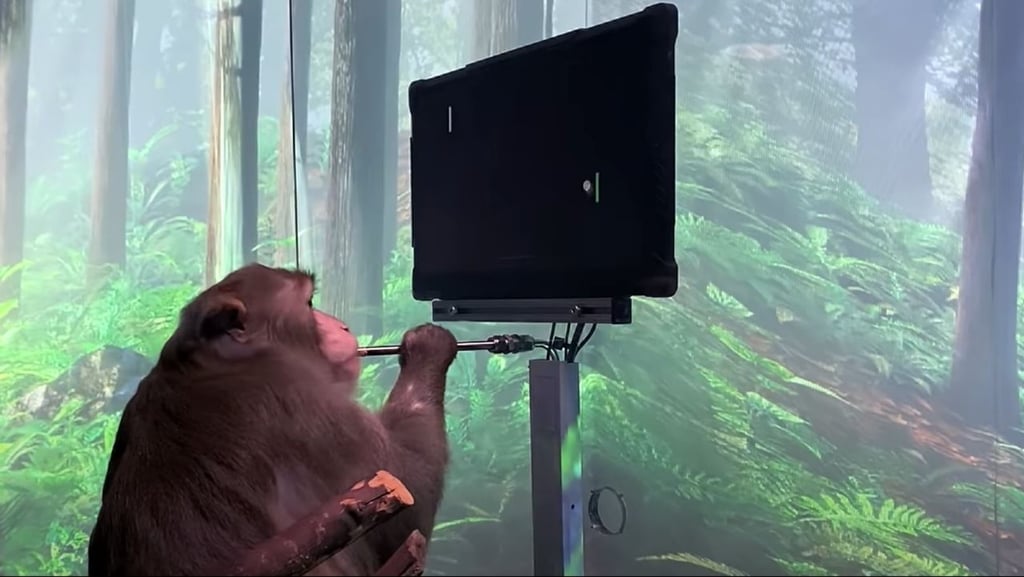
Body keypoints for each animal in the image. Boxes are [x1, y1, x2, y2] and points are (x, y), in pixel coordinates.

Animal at [86, 263, 458, 576]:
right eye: (309, 302)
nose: (344, 325)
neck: (220, 363)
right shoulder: (308, 404)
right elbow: (407, 495)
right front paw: (427, 347)